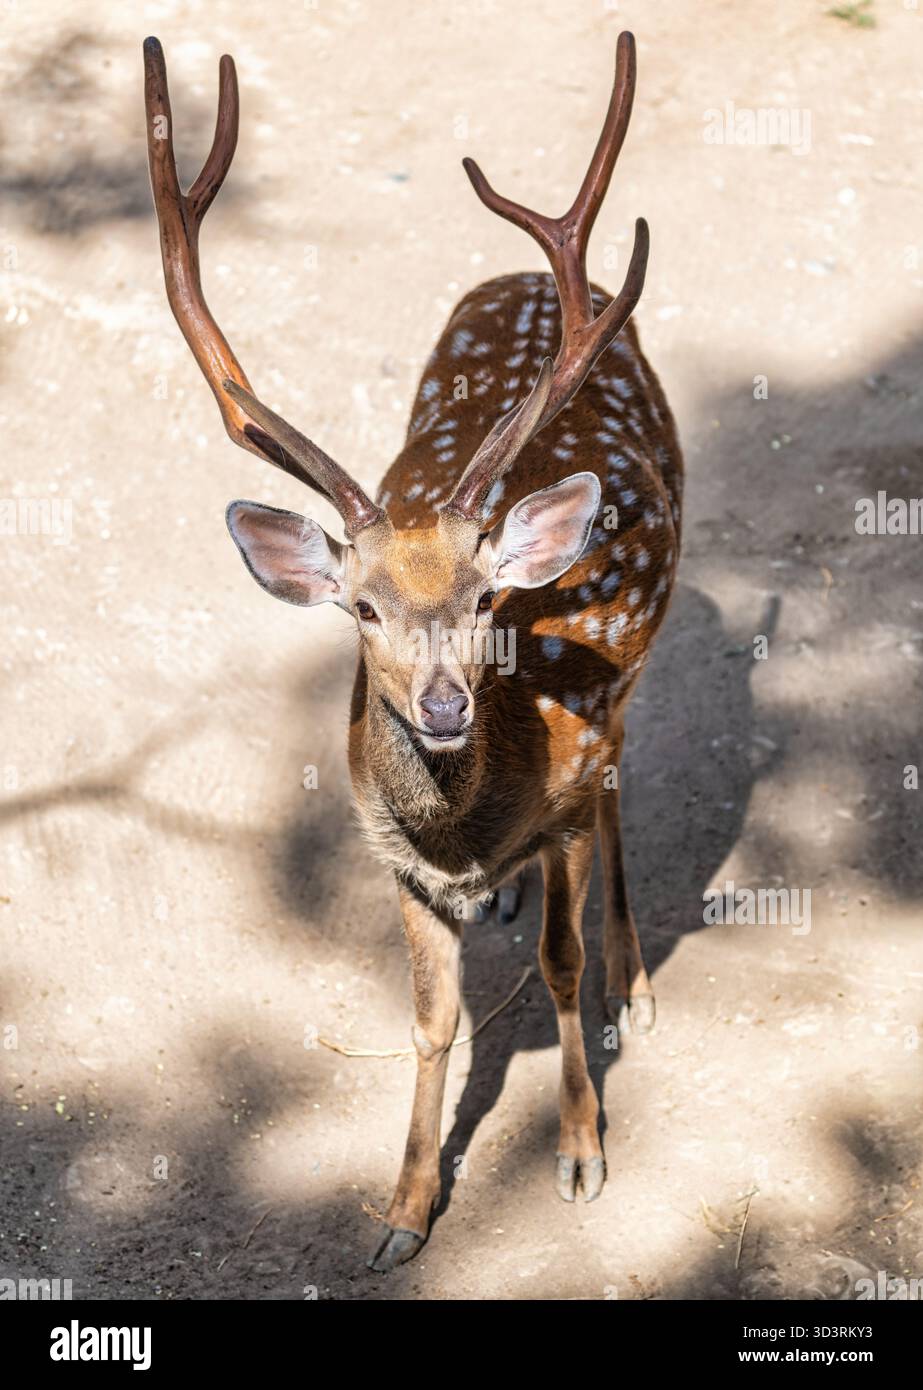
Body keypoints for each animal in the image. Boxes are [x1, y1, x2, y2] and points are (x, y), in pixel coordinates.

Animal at [143, 30, 682, 1273]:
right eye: (360, 609)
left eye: (489, 594)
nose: (442, 705)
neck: (470, 824)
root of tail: (527, 279)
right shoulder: (387, 855)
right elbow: (432, 1022)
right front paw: (399, 1209)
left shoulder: (562, 800)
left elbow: (558, 966)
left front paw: (578, 1151)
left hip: (630, 679)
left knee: (622, 778)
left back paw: (631, 974)